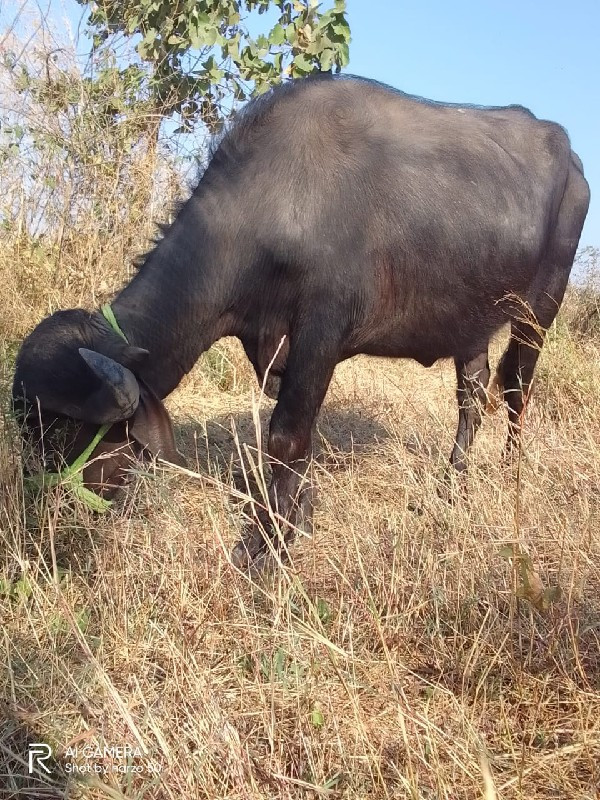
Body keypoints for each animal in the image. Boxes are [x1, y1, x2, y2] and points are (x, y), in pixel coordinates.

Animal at [12, 73, 592, 564]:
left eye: (62, 429)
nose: (43, 518)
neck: (278, 204)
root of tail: (571, 157)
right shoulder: (271, 344)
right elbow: (288, 434)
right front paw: (291, 515)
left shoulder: (321, 332)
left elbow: (287, 437)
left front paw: (267, 544)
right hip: (469, 318)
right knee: (472, 393)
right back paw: (452, 484)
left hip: (540, 308)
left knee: (516, 387)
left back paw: (510, 474)